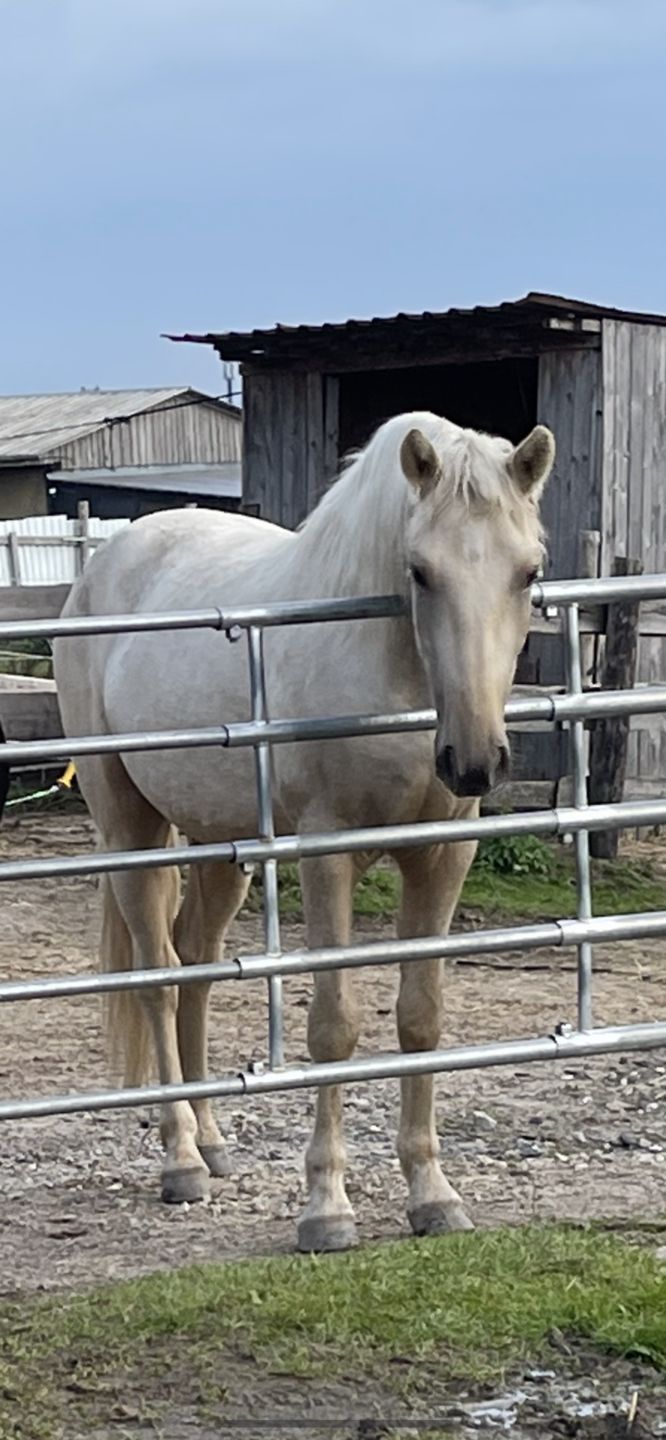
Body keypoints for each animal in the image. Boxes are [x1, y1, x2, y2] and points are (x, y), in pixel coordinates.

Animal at [54, 410, 554, 1253]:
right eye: (420, 572)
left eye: (529, 572)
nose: (475, 762)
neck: (391, 674)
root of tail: (104, 566)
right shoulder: (328, 855)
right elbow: (333, 1029)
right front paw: (326, 1209)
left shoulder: (443, 855)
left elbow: (421, 1020)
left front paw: (433, 1195)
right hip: (129, 826)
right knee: (157, 975)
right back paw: (181, 1160)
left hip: (219, 846)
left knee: (196, 965)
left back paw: (213, 1143)